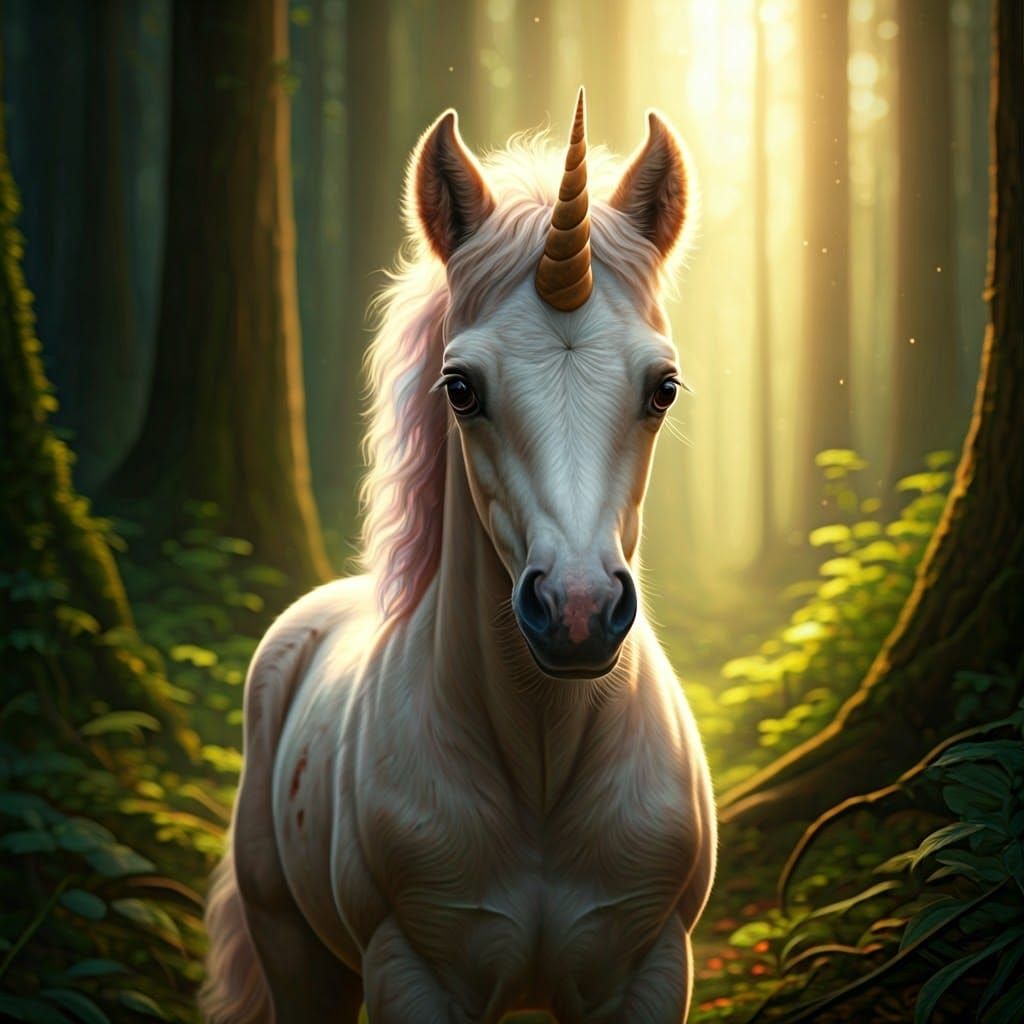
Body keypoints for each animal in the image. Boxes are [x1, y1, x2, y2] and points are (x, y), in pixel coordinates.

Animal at [199, 88, 716, 1024]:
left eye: (662, 388)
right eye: (462, 389)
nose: (579, 615)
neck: (540, 768)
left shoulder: (655, 968)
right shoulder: (411, 974)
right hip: (296, 953)